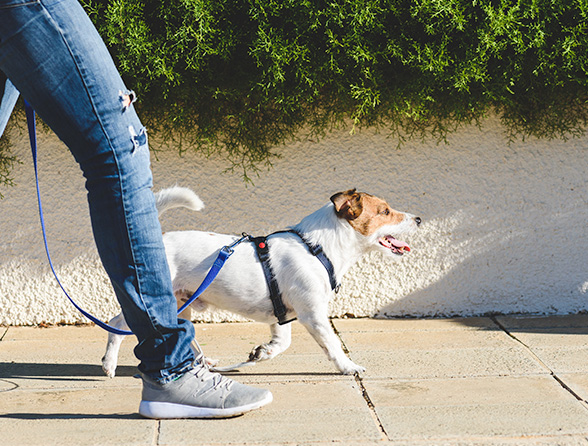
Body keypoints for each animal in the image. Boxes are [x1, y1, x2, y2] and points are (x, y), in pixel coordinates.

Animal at [102, 186, 422, 378]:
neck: (317, 247)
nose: (419, 219)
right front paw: (348, 366)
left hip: (182, 304)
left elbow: (282, 343)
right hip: (157, 302)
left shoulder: (283, 315)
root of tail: (158, 242)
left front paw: (262, 353)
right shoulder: (313, 315)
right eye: (385, 212)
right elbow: (332, 345)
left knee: (185, 334)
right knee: (117, 325)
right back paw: (109, 364)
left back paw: (205, 363)